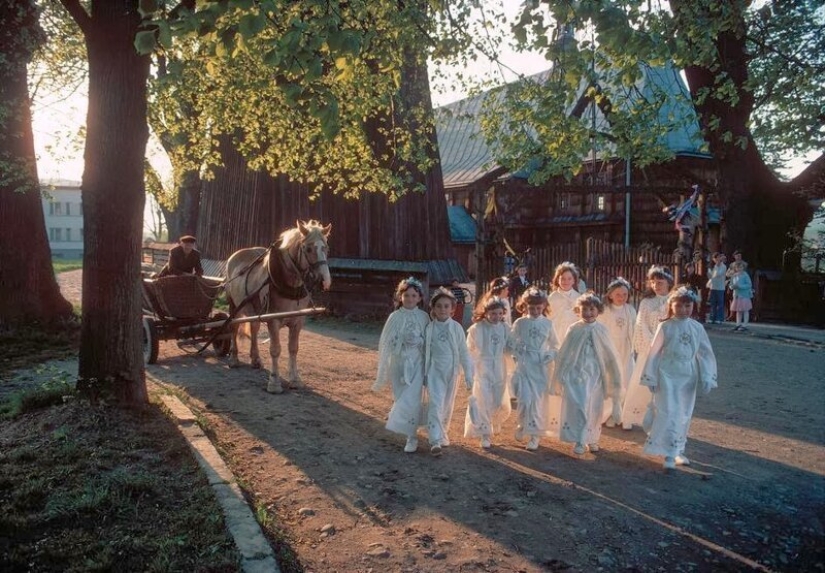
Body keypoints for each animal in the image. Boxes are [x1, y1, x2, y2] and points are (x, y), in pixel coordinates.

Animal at [225, 219, 332, 394]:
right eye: (308, 248)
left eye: (326, 248)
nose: (325, 281)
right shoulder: (273, 320)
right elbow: (275, 349)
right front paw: (274, 382)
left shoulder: (297, 321)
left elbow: (293, 348)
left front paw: (295, 380)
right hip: (234, 305)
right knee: (233, 328)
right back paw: (234, 359)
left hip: (253, 309)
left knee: (254, 329)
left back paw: (255, 359)